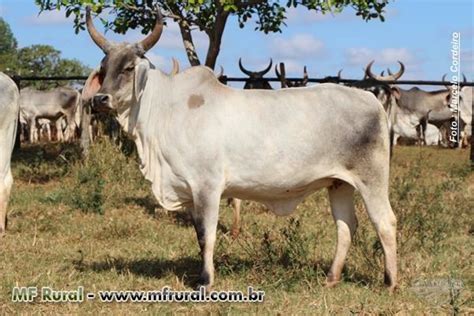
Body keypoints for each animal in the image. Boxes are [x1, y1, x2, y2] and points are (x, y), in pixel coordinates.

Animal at [83, 6, 398, 292]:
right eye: (103, 68)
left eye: (128, 68)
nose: (100, 99)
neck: (166, 109)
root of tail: (371, 99)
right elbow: (199, 235)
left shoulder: (207, 186)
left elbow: (206, 235)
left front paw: (205, 281)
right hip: (339, 184)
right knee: (346, 226)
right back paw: (331, 278)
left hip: (371, 179)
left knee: (385, 222)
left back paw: (390, 282)